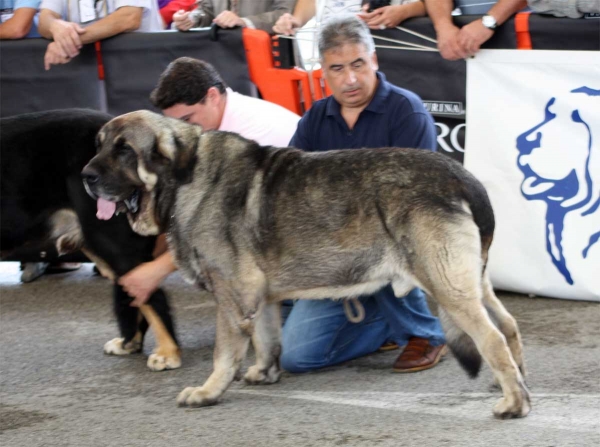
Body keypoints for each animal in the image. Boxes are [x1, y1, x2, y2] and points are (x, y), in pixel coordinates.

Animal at [82, 110, 532, 418]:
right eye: (99, 144)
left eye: (124, 150)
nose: (85, 175)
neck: (183, 176)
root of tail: (463, 178)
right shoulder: (258, 299)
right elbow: (266, 339)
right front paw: (264, 372)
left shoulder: (231, 297)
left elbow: (224, 354)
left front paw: (209, 391)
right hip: (470, 283)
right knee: (508, 326)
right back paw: (515, 382)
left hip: (447, 287)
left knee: (491, 338)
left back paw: (514, 403)